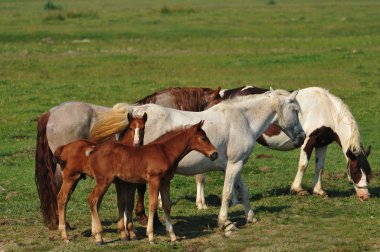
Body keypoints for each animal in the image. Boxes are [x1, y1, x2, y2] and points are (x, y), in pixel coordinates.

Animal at [54, 121, 220, 245]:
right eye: (204, 138)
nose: (215, 154)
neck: (165, 151)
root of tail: (94, 151)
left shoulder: (165, 181)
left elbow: (166, 205)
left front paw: (173, 236)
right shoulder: (154, 180)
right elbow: (152, 204)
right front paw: (151, 236)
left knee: (88, 200)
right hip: (98, 180)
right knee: (89, 199)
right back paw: (97, 237)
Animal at [89, 88, 306, 228]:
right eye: (295, 110)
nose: (303, 136)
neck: (243, 119)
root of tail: (135, 113)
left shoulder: (233, 165)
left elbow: (243, 191)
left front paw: (250, 217)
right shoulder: (235, 164)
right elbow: (227, 193)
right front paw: (224, 221)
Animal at [196, 86, 372, 209]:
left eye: (368, 174)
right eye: (356, 172)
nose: (365, 196)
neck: (325, 109)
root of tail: (218, 96)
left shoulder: (322, 144)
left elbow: (319, 167)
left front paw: (318, 190)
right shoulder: (308, 141)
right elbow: (303, 165)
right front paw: (298, 189)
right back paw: (212, 202)